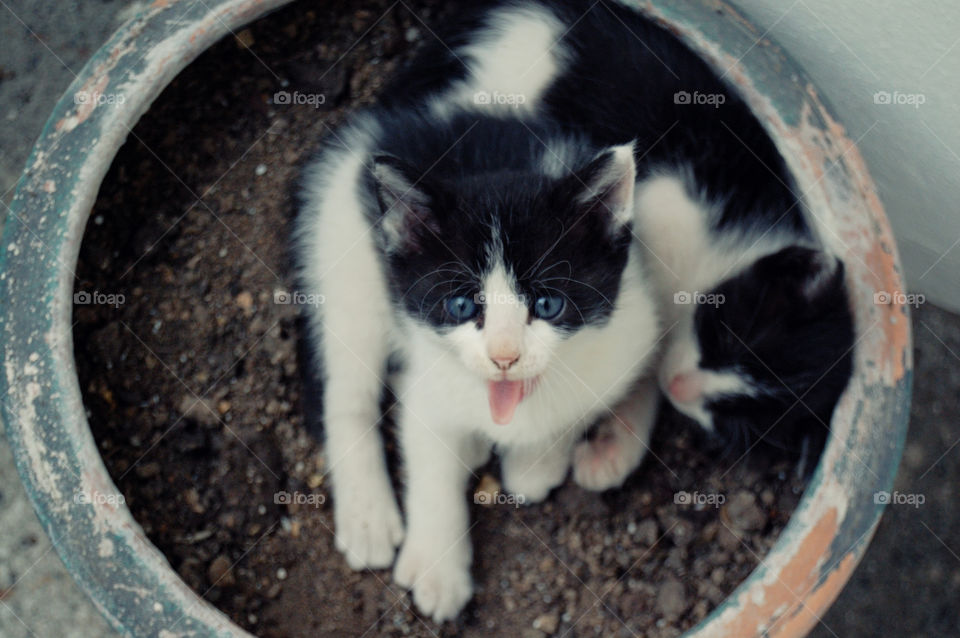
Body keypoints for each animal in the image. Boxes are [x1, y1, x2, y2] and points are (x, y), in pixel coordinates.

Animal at [296, 107, 664, 624]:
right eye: (462, 306)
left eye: (548, 304)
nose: (504, 356)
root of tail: (383, 122)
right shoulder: (426, 375)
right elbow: (430, 466)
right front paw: (438, 572)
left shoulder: (627, 341)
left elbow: (573, 410)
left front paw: (535, 462)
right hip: (346, 265)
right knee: (347, 389)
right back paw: (367, 516)